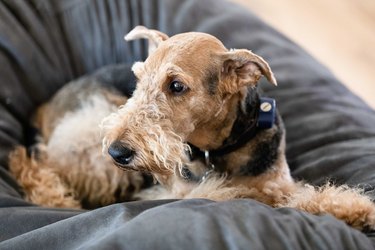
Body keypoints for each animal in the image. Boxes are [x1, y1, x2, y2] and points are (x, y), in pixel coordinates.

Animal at [8, 26, 375, 231]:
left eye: (176, 86)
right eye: (138, 79)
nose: (117, 151)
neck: (220, 148)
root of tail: (45, 106)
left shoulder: (276, 179)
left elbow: (294, 193)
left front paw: (357, 210)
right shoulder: (185, 191)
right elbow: (246, 196)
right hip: (90, 145)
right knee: (32, 164)